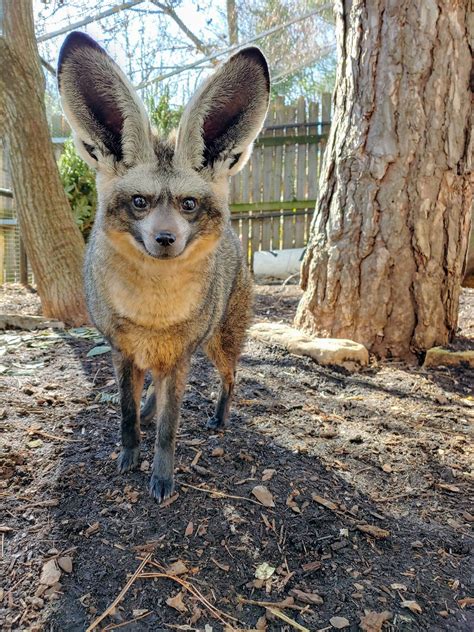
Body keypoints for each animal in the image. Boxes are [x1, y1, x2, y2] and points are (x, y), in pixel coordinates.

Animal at [57, 32, 268, 502]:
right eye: (140, 202)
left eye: (188, 204)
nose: (166, 240)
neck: (153, 314)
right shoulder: (122, 352)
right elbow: (126, 415)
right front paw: (129, 456)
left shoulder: (179, 358)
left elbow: (170, 430)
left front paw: (162, 477)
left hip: (218, 345)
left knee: (232, 378)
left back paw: (220, 417)